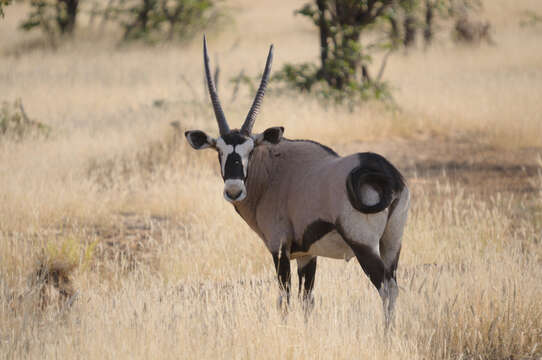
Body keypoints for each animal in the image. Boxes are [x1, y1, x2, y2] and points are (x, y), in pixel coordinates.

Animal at [185, 36, 410, 324]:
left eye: (250, 151)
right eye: (220, 152)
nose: (234, 190)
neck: (271, 173)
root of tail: (385, 172)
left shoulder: (279, 249)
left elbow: (285, 299)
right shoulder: (306, 254)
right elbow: (307, 301)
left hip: (364, 245)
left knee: (385, 288)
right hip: (392, 243)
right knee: (394, 285)